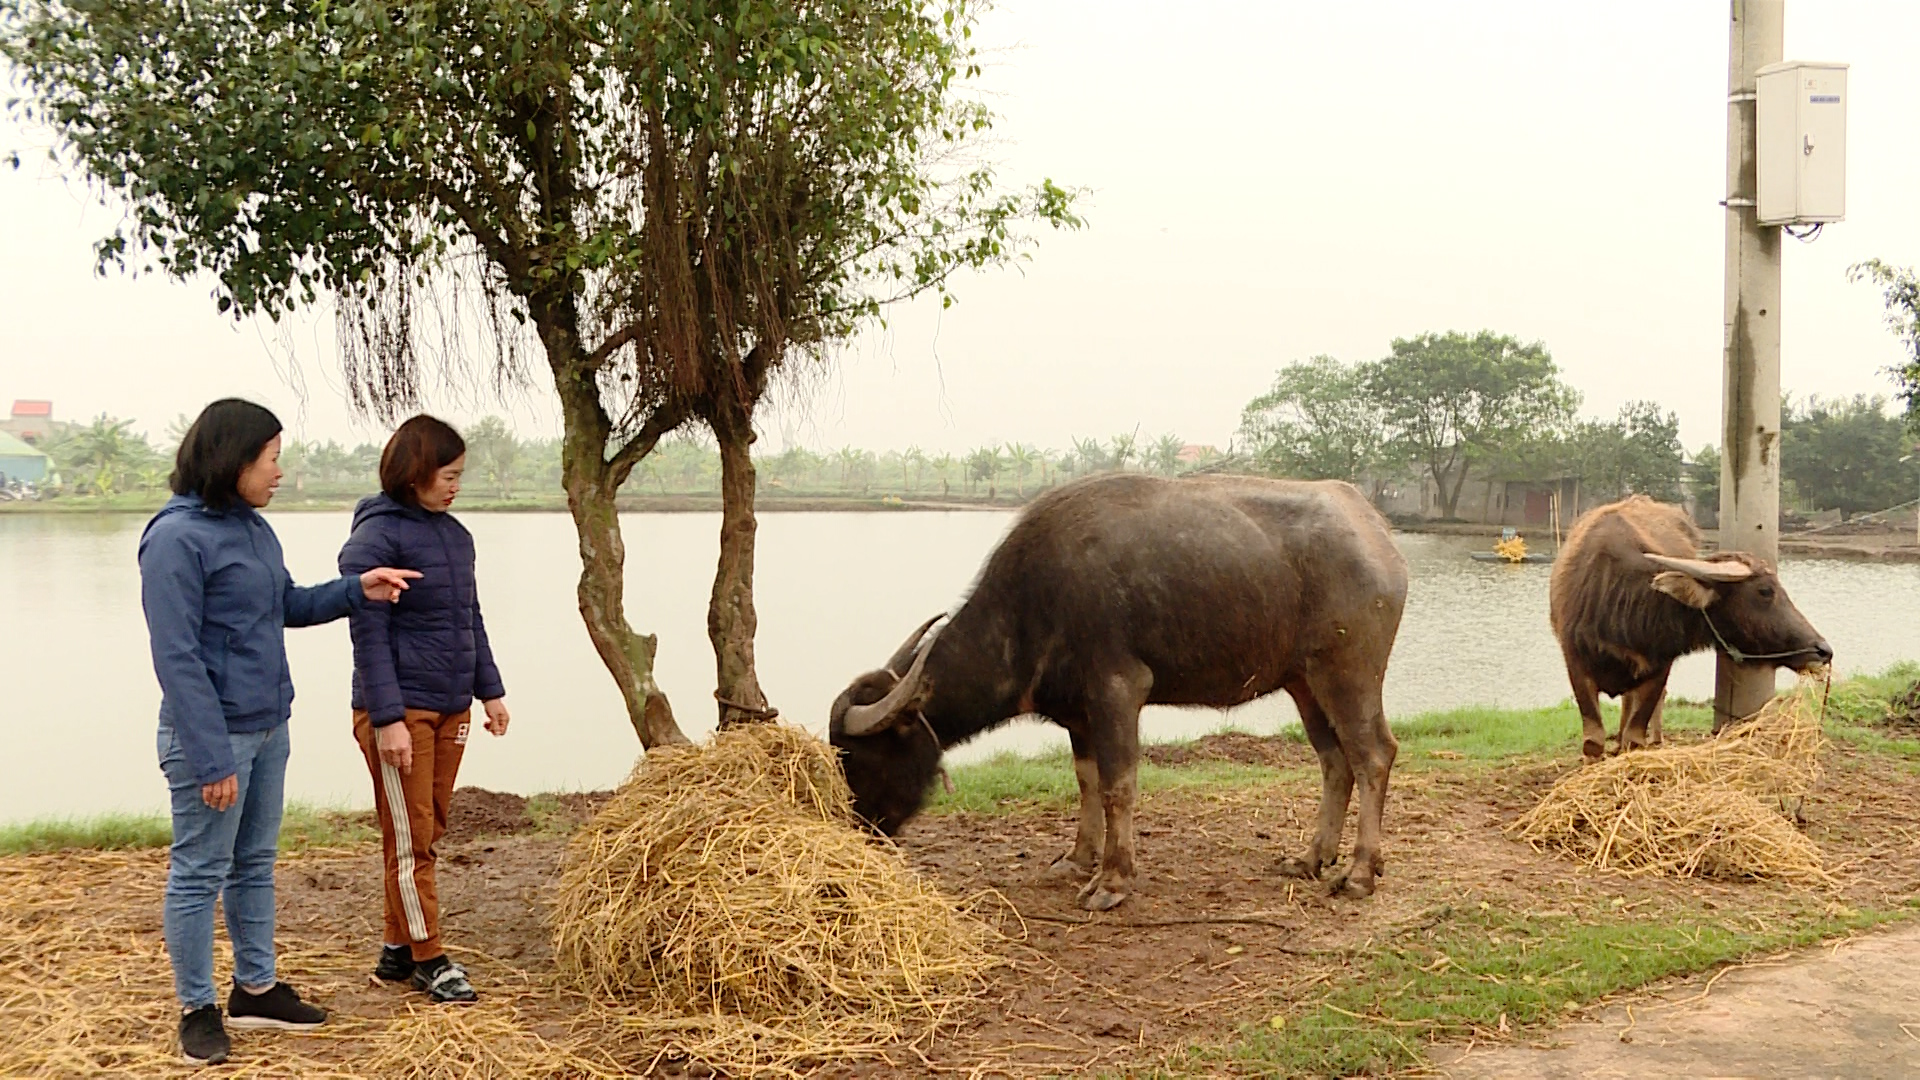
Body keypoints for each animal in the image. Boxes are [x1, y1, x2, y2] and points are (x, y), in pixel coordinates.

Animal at [829, 474, 1413, 903]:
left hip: (1348, 672)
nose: (862, 829)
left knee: (1373, 755)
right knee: (1334, 761)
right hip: (1303, 683)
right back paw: (1312, 858)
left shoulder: (1117, 691)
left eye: (858, 758)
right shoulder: (1077, 714)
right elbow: (1087, 782)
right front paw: (1077, 858)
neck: (1029, 608)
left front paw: (1112, 880)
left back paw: (1360, 873)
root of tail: (1378, 531)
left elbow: (1119, 785)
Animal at [1543, 495, 1827, 757]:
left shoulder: (1659, 668)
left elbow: (1634, 736)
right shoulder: (1575, 663)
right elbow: (1593, 741)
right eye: (1766, 591)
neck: (1619, 603)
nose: (1823, 650)